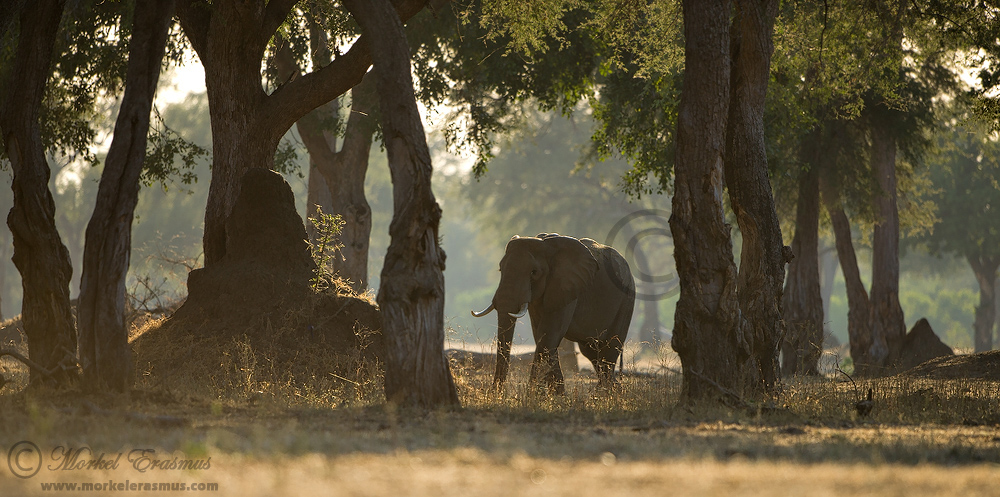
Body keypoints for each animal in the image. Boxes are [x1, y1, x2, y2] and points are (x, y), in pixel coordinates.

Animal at [471, 233, 635, 394]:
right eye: (500, 269)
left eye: (534, 272)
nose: (496, 392)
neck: (544, 244)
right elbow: (541, 335)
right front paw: (556, 393)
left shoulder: (566, 285)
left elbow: (549, 334)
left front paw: (533, 394)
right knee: (591, 351)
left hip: (627, 300)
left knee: (609, 348)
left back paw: (607, 391)